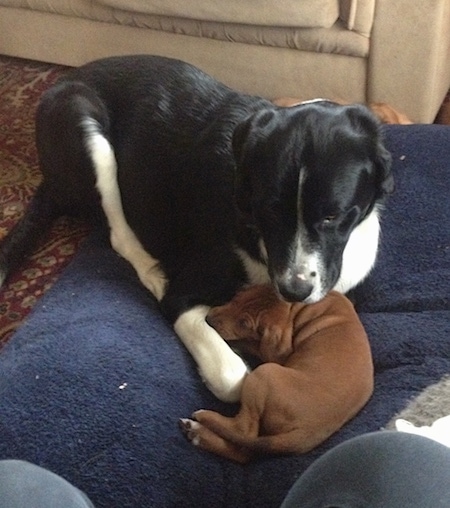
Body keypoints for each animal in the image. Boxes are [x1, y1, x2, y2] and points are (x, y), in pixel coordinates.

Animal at [0, 55, 394, 402]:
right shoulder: (185, 297)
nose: (294, 291)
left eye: (333, 216)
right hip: (84, 121)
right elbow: (232, 377)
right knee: (119, 234)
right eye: (269, 210)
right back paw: (152, 271)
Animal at [179, 286, 372, 464]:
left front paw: (238, 342)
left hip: (264, 373)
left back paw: (200, 424)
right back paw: (197, 434)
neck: (295, 310)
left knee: (243, 431)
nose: (208, 319)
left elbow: (255, 345)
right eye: (237, 297)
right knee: (243, 453)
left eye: (244, 324)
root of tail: (303, 434)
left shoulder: (274, 354)